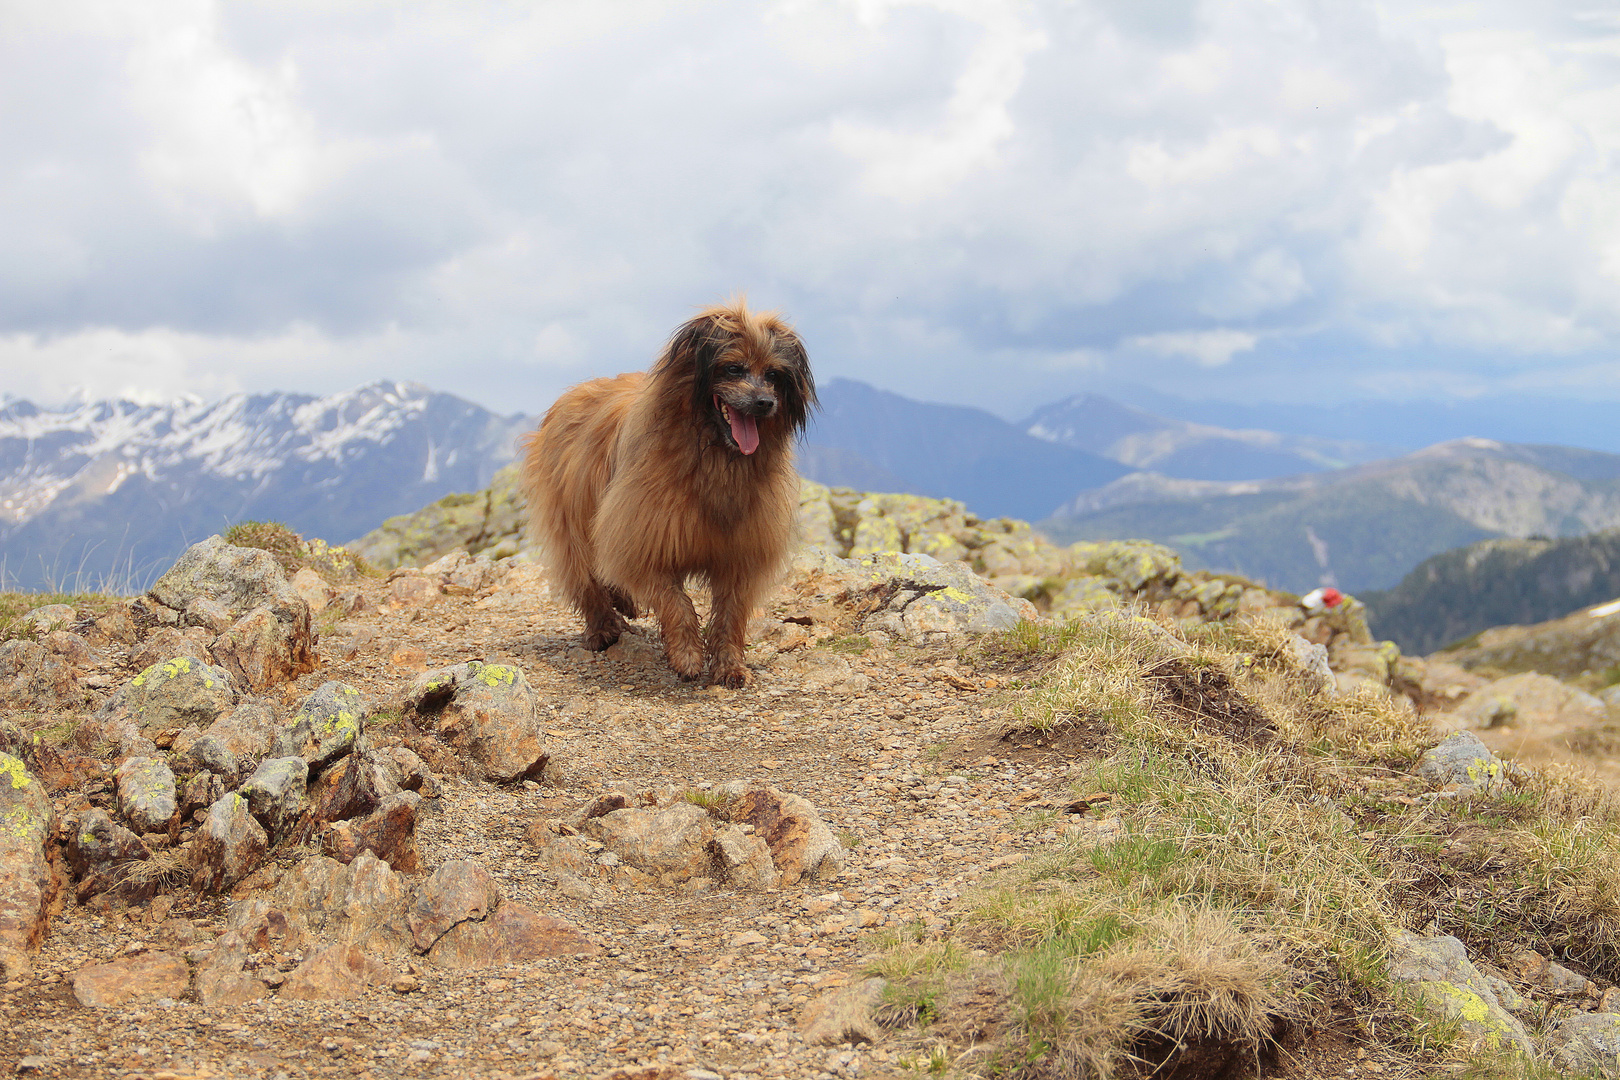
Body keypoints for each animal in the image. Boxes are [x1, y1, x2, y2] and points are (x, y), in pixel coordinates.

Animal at [518, 299, 816, 689]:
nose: (765, 402)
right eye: (733, 368)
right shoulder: (646, 539)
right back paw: (603, 628)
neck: (715, 459)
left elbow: (731, 614)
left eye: (774, 375)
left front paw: (729, 665)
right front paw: (687, 654)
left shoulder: (741, 553)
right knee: (585, 575)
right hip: (573, 516)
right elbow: (676, 603)